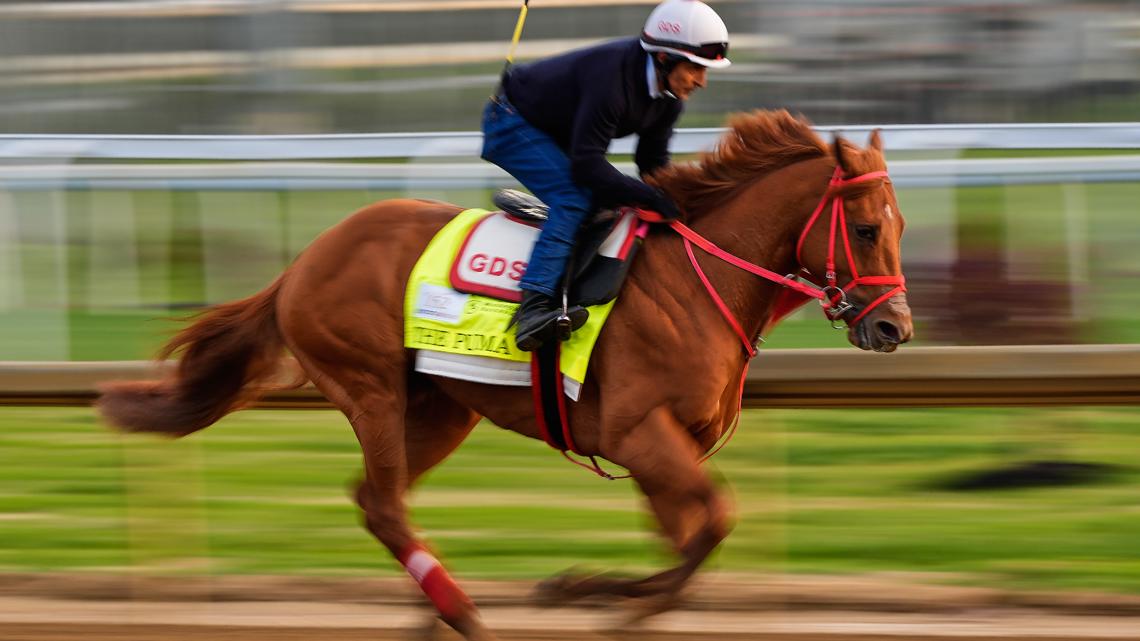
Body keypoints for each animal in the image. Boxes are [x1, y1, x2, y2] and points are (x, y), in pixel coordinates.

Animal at [98, 109, 912, 641]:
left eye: (900, 227)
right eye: (866, 227)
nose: (894, 329)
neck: (697, 277)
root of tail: (303, 262)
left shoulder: (670, 448)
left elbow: (689, 538)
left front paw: (594, 591)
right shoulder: (639, 433)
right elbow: (712, 523)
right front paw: (588, 594)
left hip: (441, 408)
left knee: (379, 499)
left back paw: (437, 611)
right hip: (371, 385)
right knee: (384, 503)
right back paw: (461, 610)